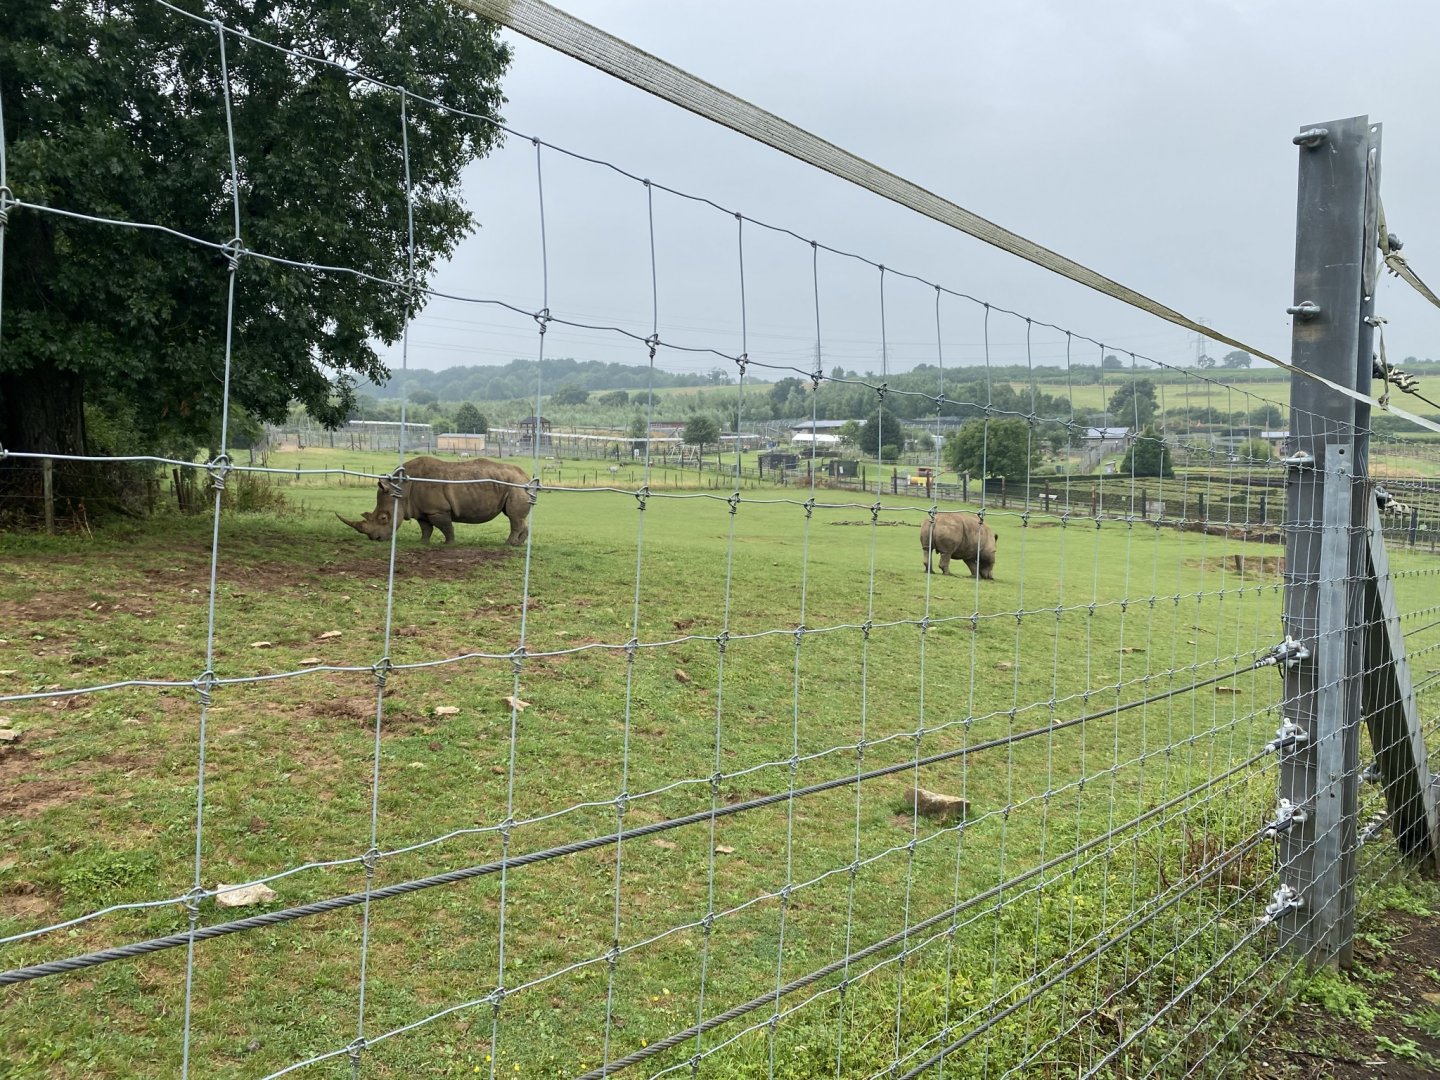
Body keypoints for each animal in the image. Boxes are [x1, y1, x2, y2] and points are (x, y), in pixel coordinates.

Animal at [336, 456, 532, 546]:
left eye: (384, 518)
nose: (375, 539)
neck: (401, 489)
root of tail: (526, 476)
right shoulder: (420, 510)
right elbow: (426, 528)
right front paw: (422, 543)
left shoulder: (437, 510)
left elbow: (446, 527)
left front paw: (449, 544)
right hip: (514, 485)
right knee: (517, 517)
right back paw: (519, 544)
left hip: (515, 485)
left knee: (513, 517)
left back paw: (508, 544)